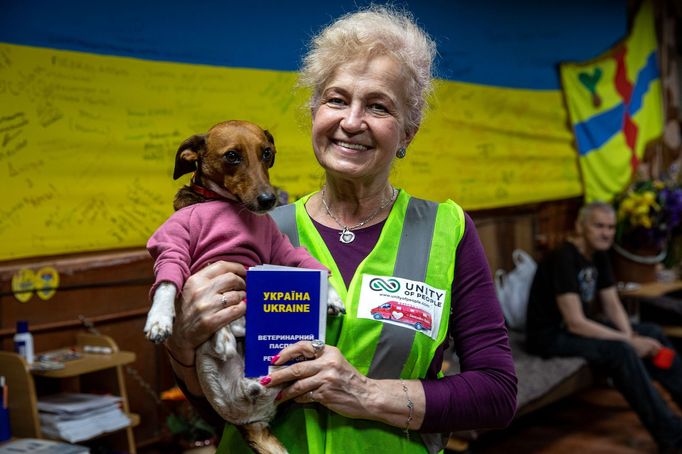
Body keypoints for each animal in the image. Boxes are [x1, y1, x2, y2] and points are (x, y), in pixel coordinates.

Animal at [145, 119, 342, 454]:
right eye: (232, 156)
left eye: (267, 153)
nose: (268, 200)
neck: (223, 203)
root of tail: (251, 413)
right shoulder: (177, 244)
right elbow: (169, 279)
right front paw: (159, 320)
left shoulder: (279, 247)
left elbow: (307, 261)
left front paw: (332, 297)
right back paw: (226, 335)